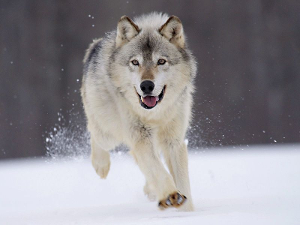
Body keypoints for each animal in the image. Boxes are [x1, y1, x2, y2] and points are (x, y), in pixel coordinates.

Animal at [81, 12, 196, 211]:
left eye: (161, 61)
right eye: (135, 62)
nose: (146, 85)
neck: (155, 115)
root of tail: (95, 45)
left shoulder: (174, 141)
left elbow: (181, 181)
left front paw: (186, 209)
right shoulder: (141, 137)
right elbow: (159, 170)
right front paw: (171, 195)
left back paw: (151, 191)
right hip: (109, 133)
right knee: (95, 133)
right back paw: (101, 165)